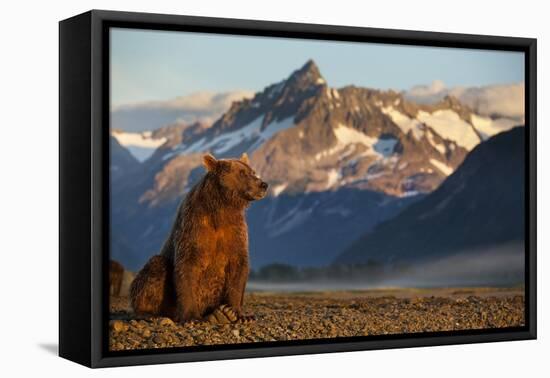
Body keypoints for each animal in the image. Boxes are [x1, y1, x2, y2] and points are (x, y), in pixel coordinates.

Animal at [129, 154, 268, 324]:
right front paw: (192, 317)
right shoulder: (194, 228)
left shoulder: (235, 231)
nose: (263, 184)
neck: (222, 207)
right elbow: (187, 267)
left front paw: (237, 313)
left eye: (252, 172)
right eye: (242, 173)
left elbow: (238, 267)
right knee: (155, 268)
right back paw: (149, 313)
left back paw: (220, 314)